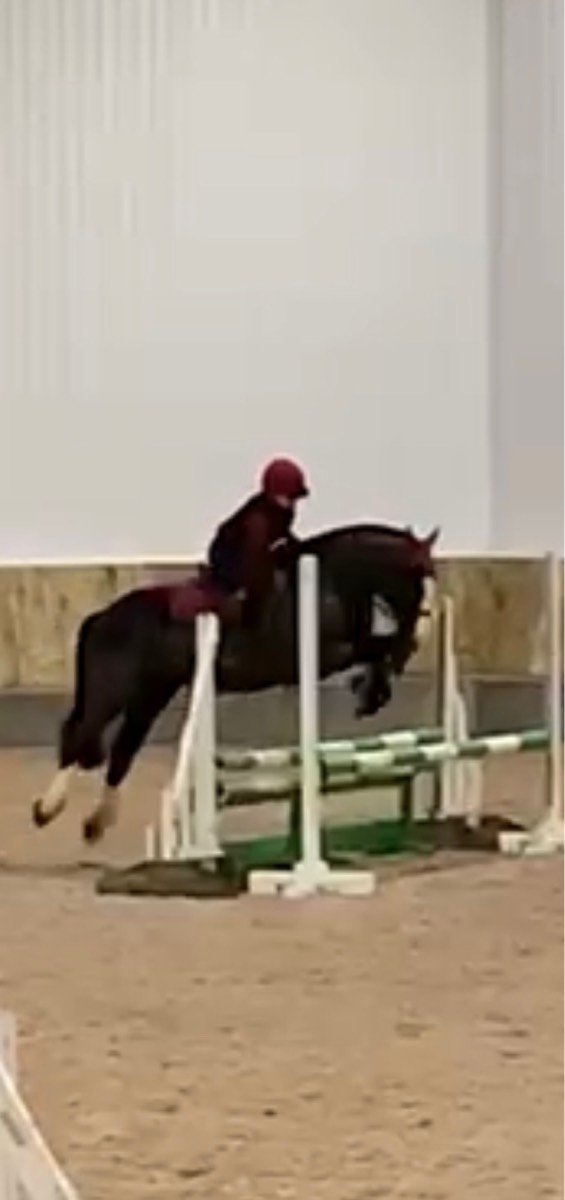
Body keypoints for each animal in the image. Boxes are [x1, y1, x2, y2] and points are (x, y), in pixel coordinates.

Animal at [32, 521, 439, 844]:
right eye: (417, 583)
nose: (415, 642)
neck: (329, 581)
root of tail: (102, 617)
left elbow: (373, 647)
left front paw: (374, 688)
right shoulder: (323, 652)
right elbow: (372, 646)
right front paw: (372, 688)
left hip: (151, 695)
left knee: (122, 751)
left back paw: (97, 823)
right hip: (114, 690)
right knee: (81, 735)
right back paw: (47, 810)